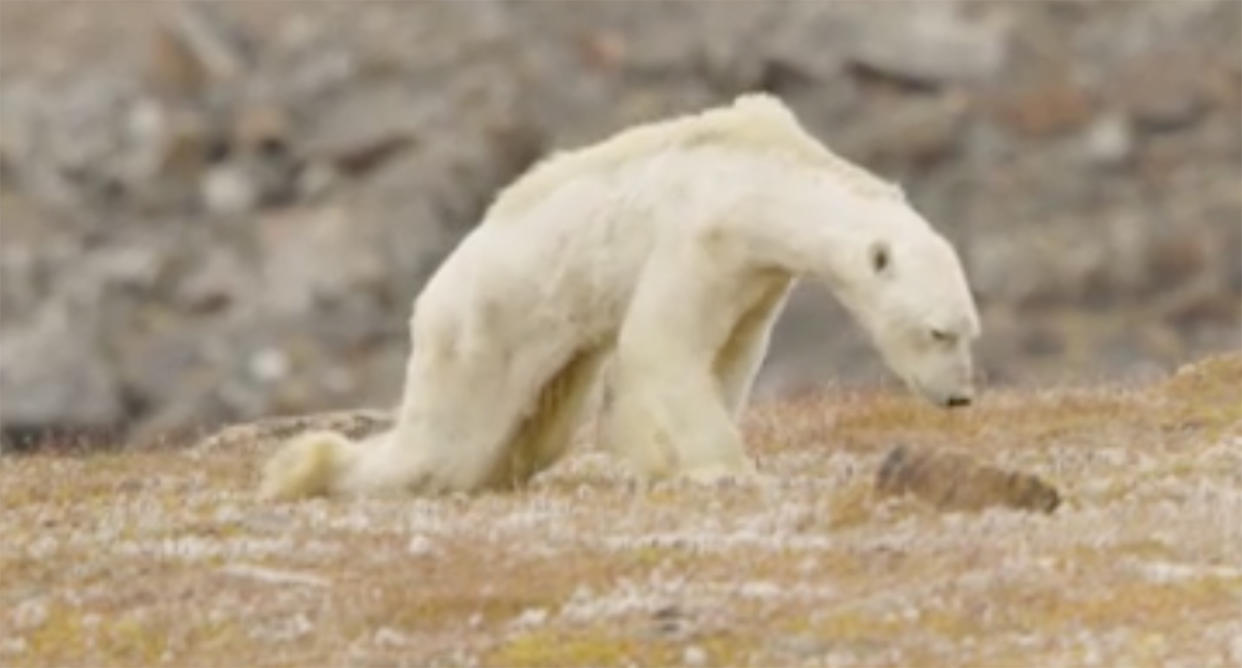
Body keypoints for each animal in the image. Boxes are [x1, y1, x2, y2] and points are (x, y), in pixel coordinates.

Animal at [262, 92, 978, 499]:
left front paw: (656, 455)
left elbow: (729, 354)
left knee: (528, 435)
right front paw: (722, 469)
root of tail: (429, 298)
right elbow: (662, 345)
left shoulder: (757, 274)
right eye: (938, 331)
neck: (762, 174)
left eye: (970, 331)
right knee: (444, 446)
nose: (959, 398)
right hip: (483, 327)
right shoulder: (702, 236)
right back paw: (307, 468)